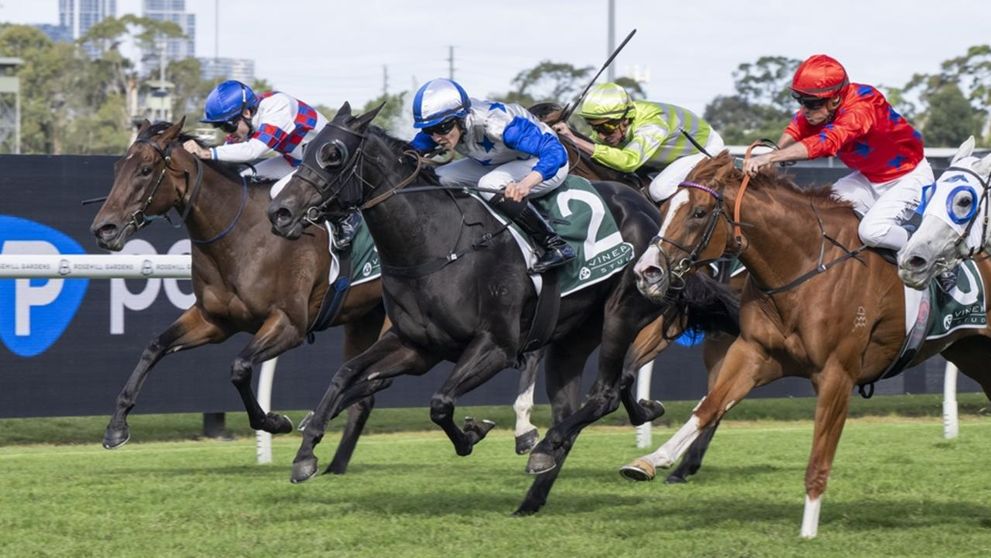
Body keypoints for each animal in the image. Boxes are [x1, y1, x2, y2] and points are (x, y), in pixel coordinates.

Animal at [266, 102, 738, 514]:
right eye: (307, 147)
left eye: (333, 154)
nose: (279, 212)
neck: (435, 242)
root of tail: (653, 217)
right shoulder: (416, 346)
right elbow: (345, 376)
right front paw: (305, 449)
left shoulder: (496, 346)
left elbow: (440, 403)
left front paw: (474, 432)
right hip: (571, 341)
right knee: (578, 409)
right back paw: (535, 493)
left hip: (623, 313)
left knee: (604, 393)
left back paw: (550, 448)